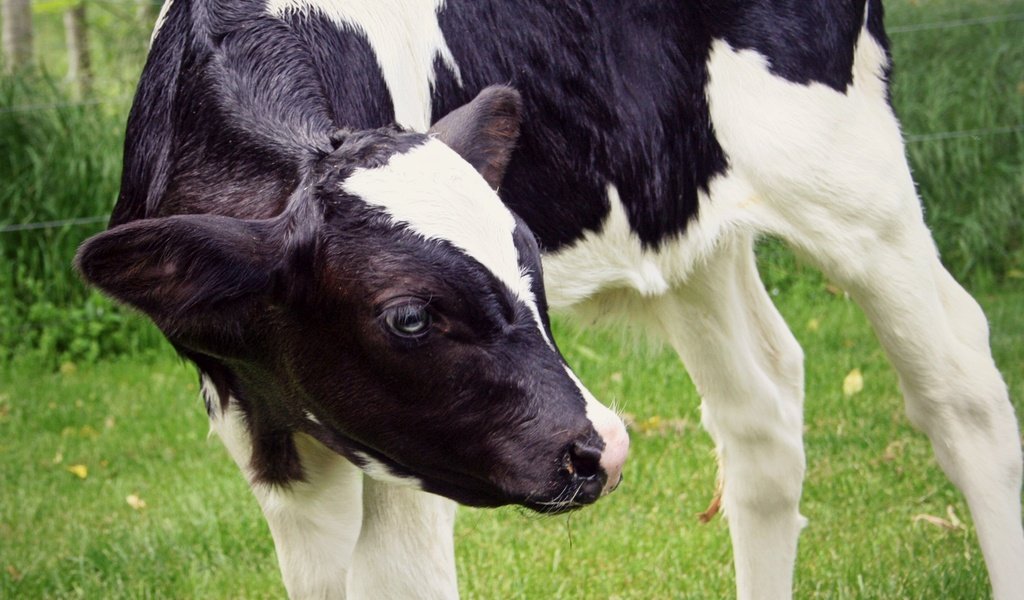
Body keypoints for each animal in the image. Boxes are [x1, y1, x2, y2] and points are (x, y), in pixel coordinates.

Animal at [74, 0, 1024, 593]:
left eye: (530, 265)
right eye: (408, 316)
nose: (601, 448)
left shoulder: (408, 466)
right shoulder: (264, 427)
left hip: (848, 173)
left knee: (960, 384)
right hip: (682, 224)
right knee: (758, 408)